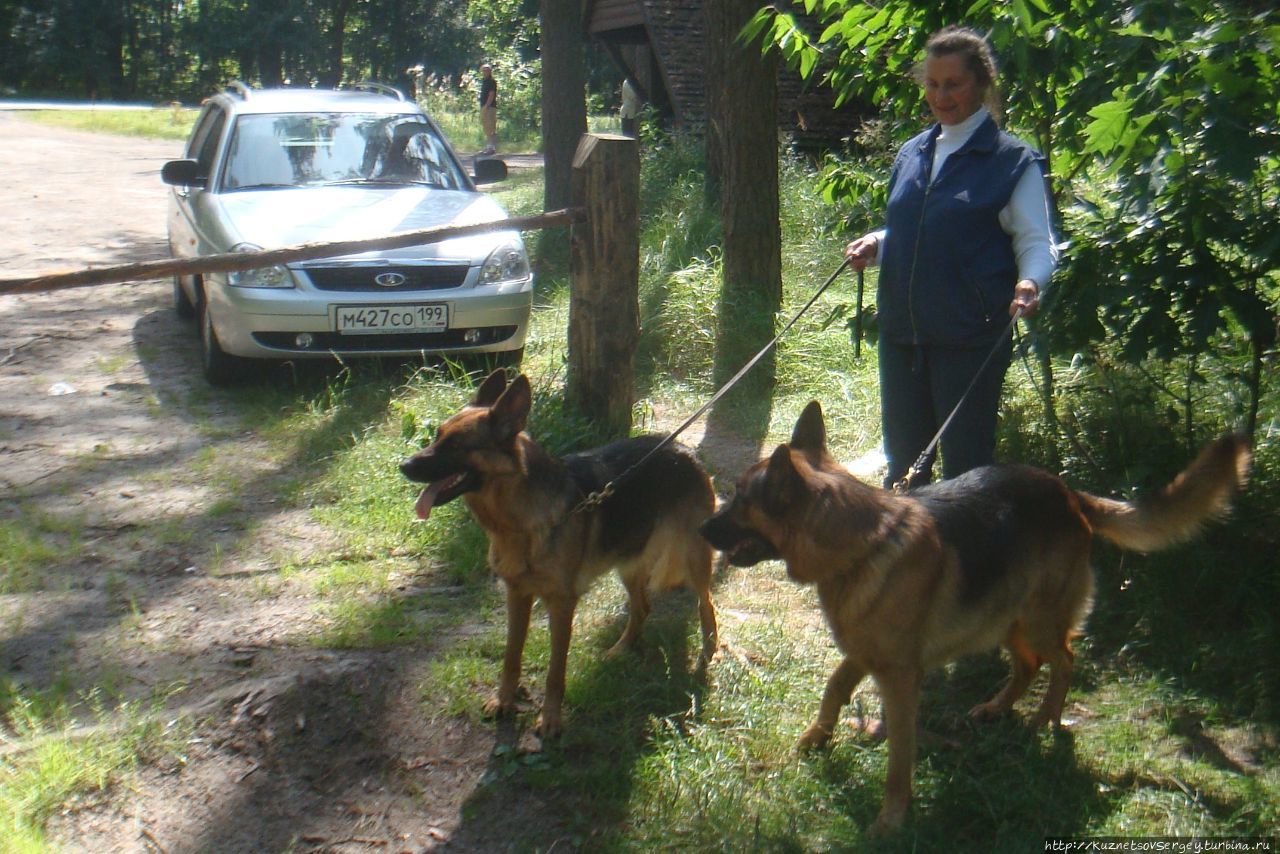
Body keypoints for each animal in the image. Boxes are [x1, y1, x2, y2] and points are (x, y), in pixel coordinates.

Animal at [399, 371, 721, 737]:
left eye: (455, 446)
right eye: (437, 436)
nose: (403, 466)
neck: (518, 522)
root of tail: (684, 449)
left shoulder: (561, 604)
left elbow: (555, 670)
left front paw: (550, 718)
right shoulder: (517, 595)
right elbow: (511, 656)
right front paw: (504, 700)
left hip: (693, 558)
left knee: (706, 603)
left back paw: (709, 651)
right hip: (628, 564)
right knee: (642, 607)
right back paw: (621, 649)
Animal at [701, 402, 1249, 834]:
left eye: (739, 502)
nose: (703, 526)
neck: (861, 546)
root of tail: (1069, 493)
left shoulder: (899, 678)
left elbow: (899, 755)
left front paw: (891, 818)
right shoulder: (866, 651)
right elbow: (834, 686)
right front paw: (818, 737)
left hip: (1036, 620)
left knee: (1064, 660)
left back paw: (1044, 720)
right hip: (1002, 619)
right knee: (1028, 665)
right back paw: (996, 708)